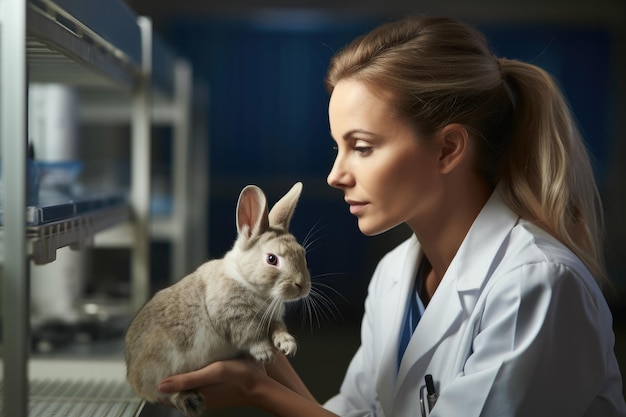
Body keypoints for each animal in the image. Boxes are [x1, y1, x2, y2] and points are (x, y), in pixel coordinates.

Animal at [124, 182, 310, 416]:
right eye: (271, 259)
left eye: (302, 253)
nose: (302, 286)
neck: (248, 282)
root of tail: (131, 375)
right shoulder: (235, 316)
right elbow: (250, 335)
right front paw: (266, 353)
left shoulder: (272, 319)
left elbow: (279, 329)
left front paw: (287, 345)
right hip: (159, 371)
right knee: (159, 392)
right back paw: (190, 401)